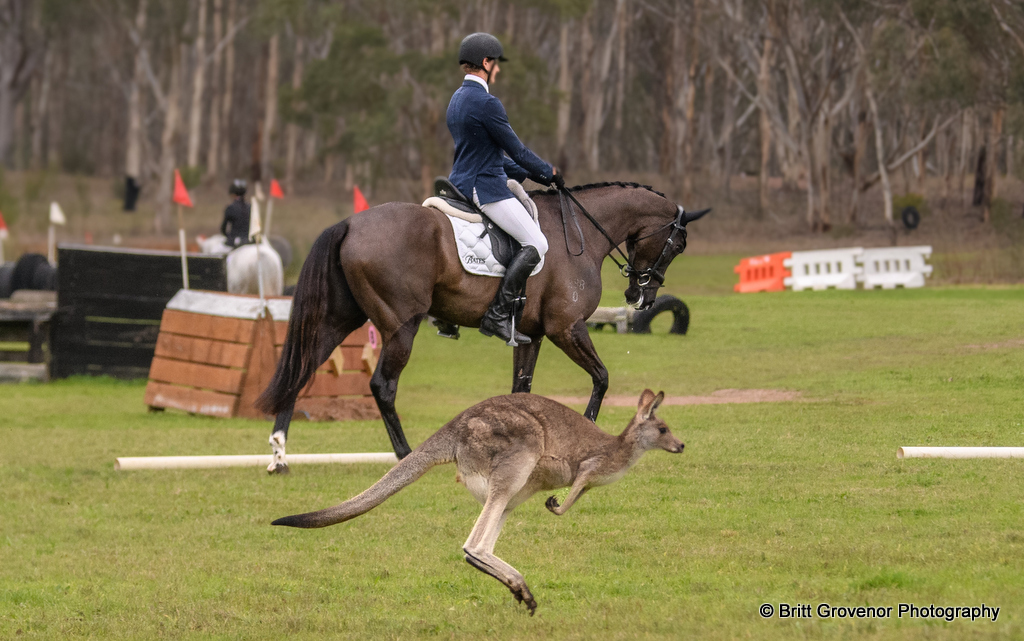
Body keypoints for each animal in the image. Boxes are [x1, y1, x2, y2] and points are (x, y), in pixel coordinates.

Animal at [256, 182, 708, 472]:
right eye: (678, 245)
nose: (641, 299)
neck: (579, 236)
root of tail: (351, 223)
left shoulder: (532, 335)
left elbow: (521, 392)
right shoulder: (567, 327)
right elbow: (601, 377)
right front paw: (591, 435)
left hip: (340, 318)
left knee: (302, 369)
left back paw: (279, 454)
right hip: (402, 325)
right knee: (382, 386)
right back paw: (404, 455)